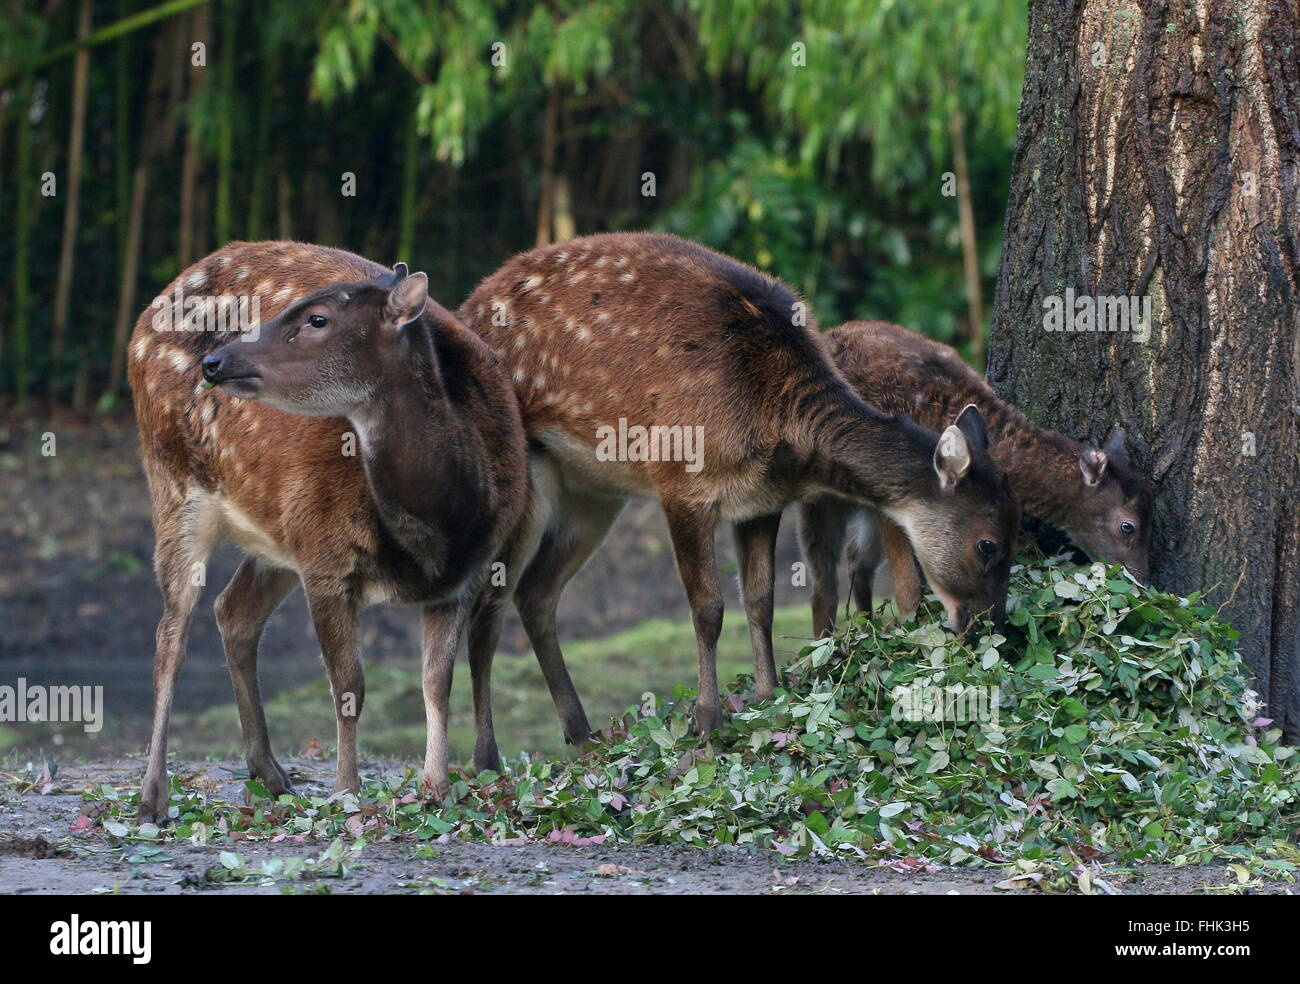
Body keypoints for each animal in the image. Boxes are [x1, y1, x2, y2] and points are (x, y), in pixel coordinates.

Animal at [124, 241, 525, 816]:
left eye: (317, 319)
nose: (215, 360)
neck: (435, 532)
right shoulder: (326, 557)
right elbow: (349, 685)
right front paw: (347, 792)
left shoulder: (465, 575)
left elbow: (436, 681)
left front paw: (436, 788)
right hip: (174, 479)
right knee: (170, 637)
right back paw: (153, 796)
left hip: (276, 532)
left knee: (233, 611)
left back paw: (270, 773)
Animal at [462, 230, 1019, 738]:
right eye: (988, 544)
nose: (990, 632)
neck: (772, 418)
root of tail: (468, 305)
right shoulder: (679, 480)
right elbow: (708, 608)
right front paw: (707, 723)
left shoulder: (761, 500)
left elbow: (760, 598)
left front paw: (767, 696)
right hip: (522, 478)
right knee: (487, 607)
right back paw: (486, 761)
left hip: (594, 490)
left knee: (535, 593)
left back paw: (581, 736)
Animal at [800, 318, 1159, 634]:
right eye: (1127, 526)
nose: (1143, 581)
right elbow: (907, 581)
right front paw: (911, 627)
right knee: (824, 576)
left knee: (858, 561)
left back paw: (865, 626)